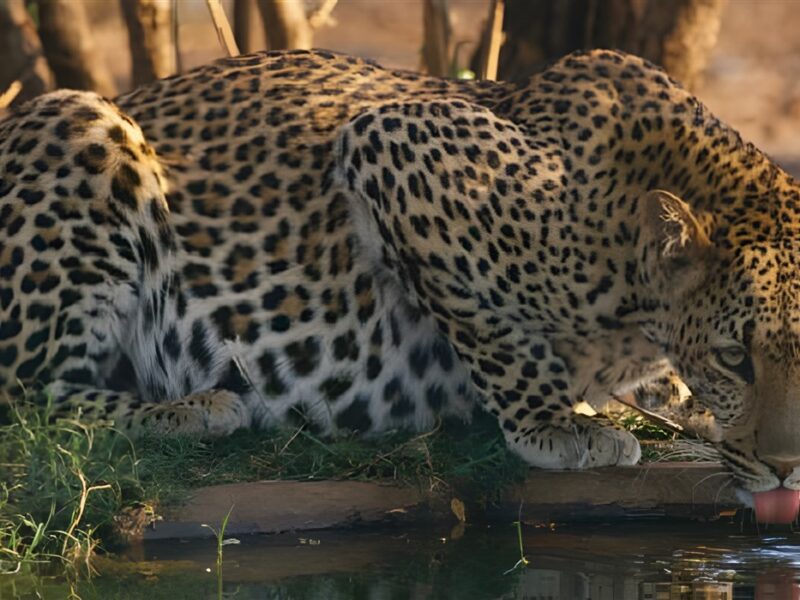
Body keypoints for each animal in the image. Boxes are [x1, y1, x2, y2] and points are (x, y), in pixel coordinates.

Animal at [2, 48, 800, 515]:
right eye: (736, 356)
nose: (788, 471)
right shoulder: (390, 143)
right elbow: (496, 338)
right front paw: (556, 425)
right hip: (78, 123)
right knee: (28, 396)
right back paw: (196, 409)